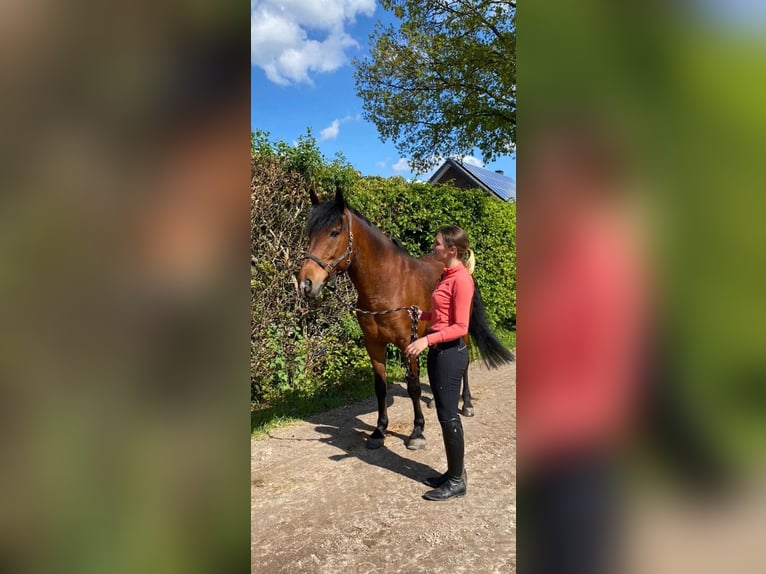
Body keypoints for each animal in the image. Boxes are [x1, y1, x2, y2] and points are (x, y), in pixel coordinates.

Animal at [298, 187, 514, 450]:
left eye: (334, 232)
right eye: (310, 232)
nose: (306, 283)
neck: (386, 286)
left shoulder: (407, 343)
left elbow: (413, 386)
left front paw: (417, 432)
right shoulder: (374, 344)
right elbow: (380, 387)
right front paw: (379, 431)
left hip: (460, 330)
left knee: (463, 365)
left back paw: (467, 403)